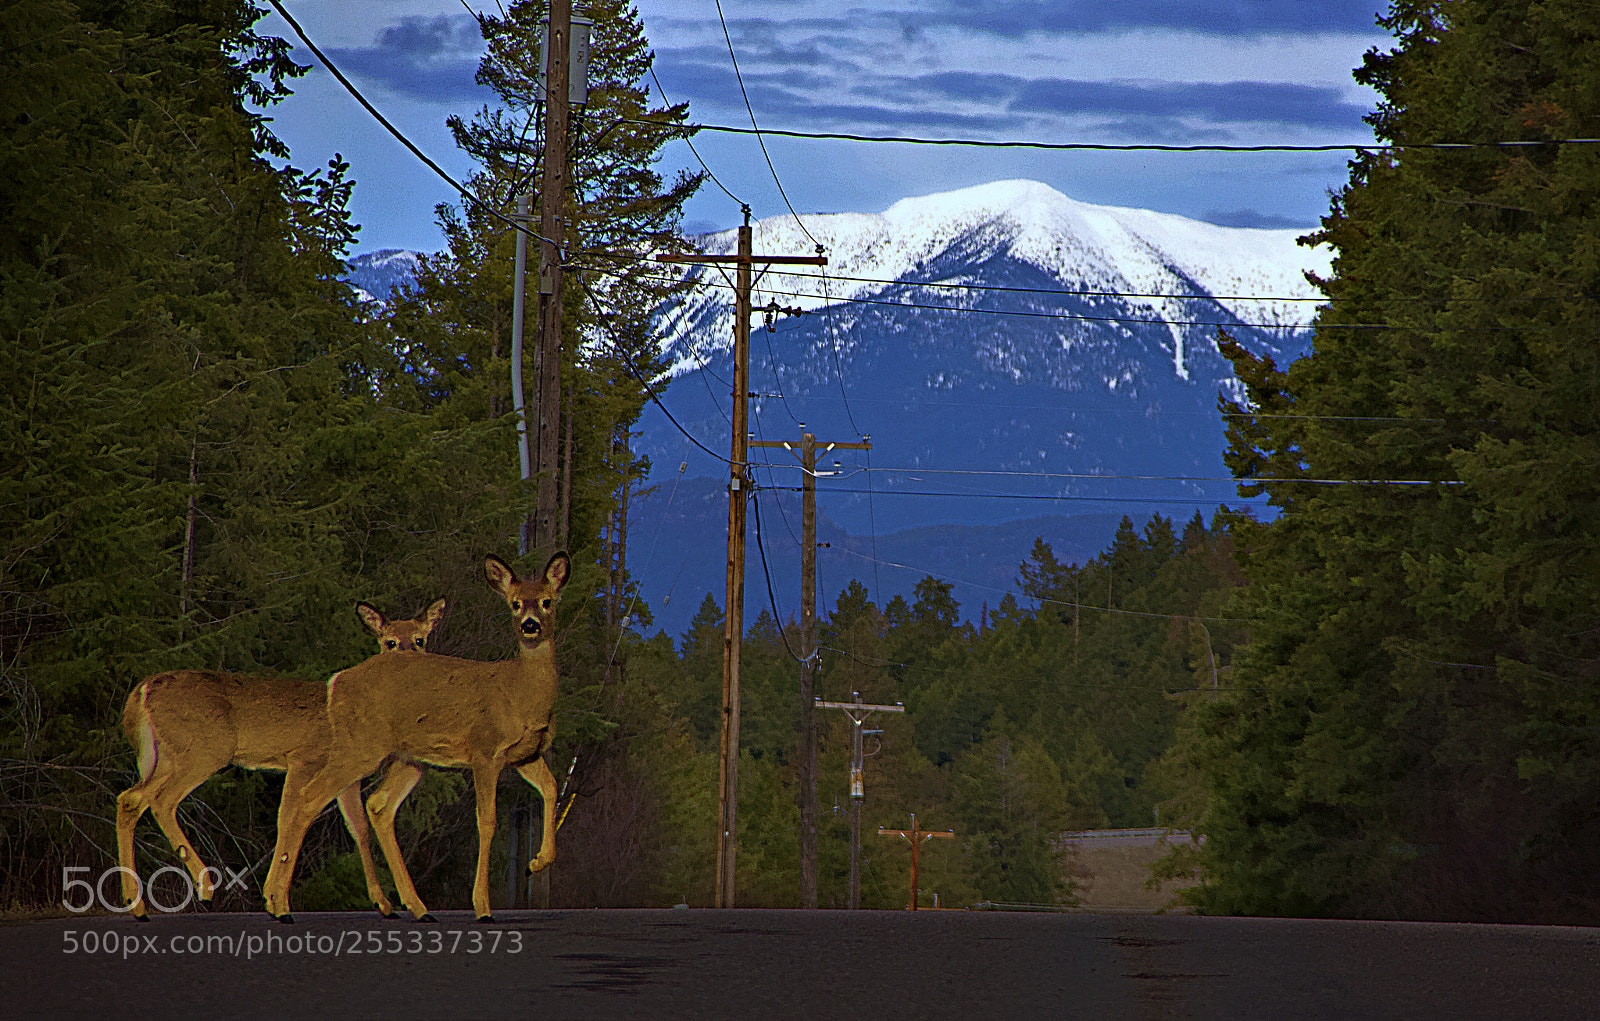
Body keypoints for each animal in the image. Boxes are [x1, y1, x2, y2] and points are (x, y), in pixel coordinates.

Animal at [115, 598, 446, 921]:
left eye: (420, 639)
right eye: (390, 642)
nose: (410, 662)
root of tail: (142, 691)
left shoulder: (347, 777)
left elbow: (359, 828)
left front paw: (383, 904)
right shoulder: (305, 757)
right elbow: (288, 818)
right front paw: (277, 901)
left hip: (167, 756)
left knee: (130, 799)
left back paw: (137, 905)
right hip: (205, 750)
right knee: (161, 801)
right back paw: (204, 886)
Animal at [261, 551, 570, 923]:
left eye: (547, 601)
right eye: (515, 603)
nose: (530, 625)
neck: (520, 693)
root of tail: (336, 682)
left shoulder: (527, 755)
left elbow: (552, 789)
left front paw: (536, 863)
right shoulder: (485, 751)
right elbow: (487, 821)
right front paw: (482, 907)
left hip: (408, 758)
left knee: (378, 805)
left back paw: (417, 907)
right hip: (362, 746)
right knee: (310, 797)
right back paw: (281, 905)